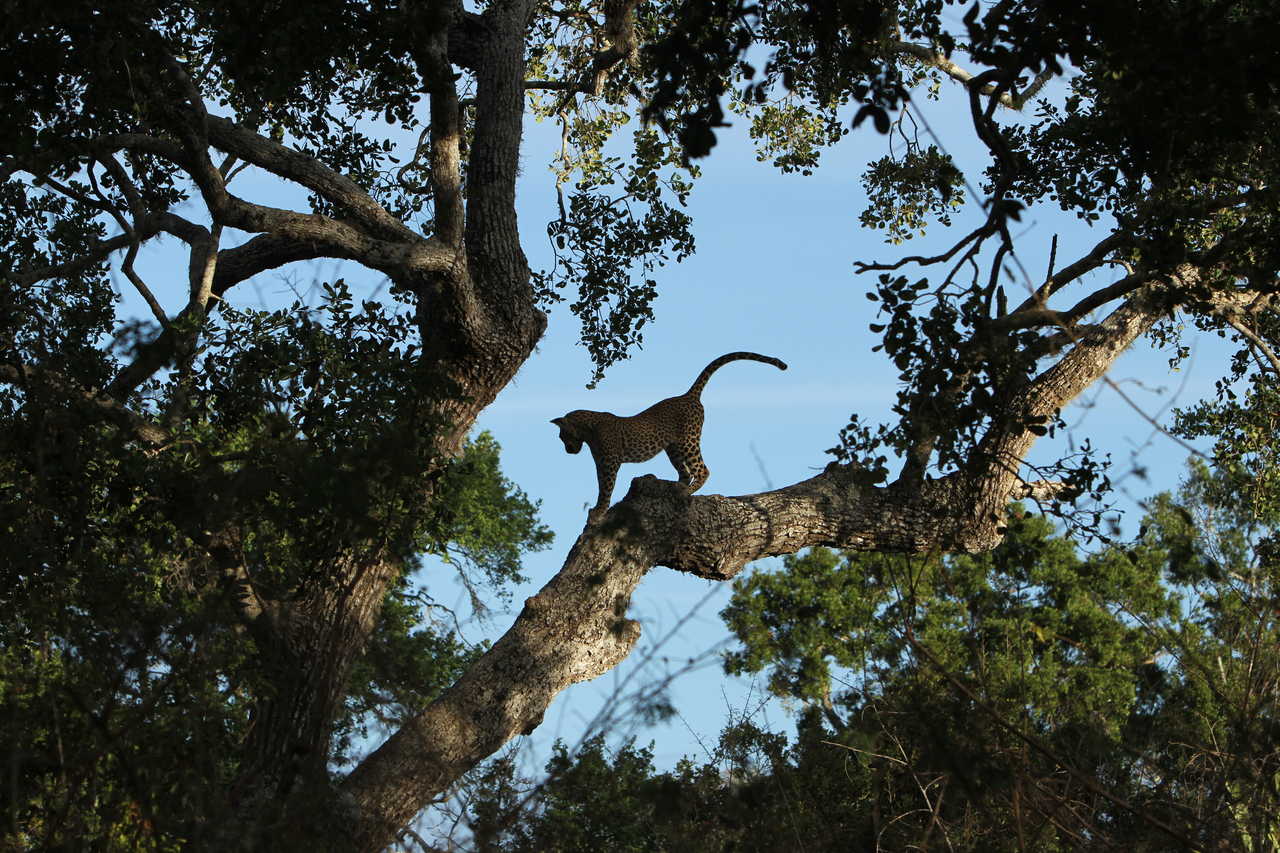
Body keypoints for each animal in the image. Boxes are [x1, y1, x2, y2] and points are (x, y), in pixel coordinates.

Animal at [552, 350, 783, 522]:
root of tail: (688, 395)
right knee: (685, 472)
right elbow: (601, 487)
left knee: (702, 469)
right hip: (673, 448)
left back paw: (685, 492)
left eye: (563, 437)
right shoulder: (600, 463)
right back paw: (677, 487)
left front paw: (599, 512)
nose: (568, 450)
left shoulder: (609, 463)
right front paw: (597, 508)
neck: (588, 430)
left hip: (689, 441)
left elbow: (606, 489)